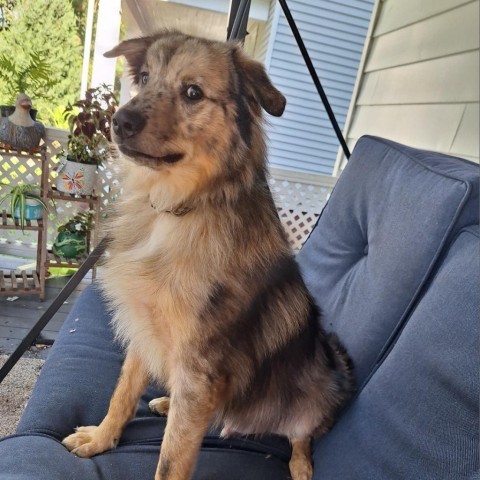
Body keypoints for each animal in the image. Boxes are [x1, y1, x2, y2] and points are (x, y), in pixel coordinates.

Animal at [62, 31, 354, 480]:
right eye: (144, 78)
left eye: (193, 92)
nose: (119, 122)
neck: (177, 208)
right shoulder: (145, 331)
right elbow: (122, 394)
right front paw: (100, 439)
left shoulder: (199, 369)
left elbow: (170, 461)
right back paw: (167, 402)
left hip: (316, 391)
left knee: (302, 437)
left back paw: (301, 465)